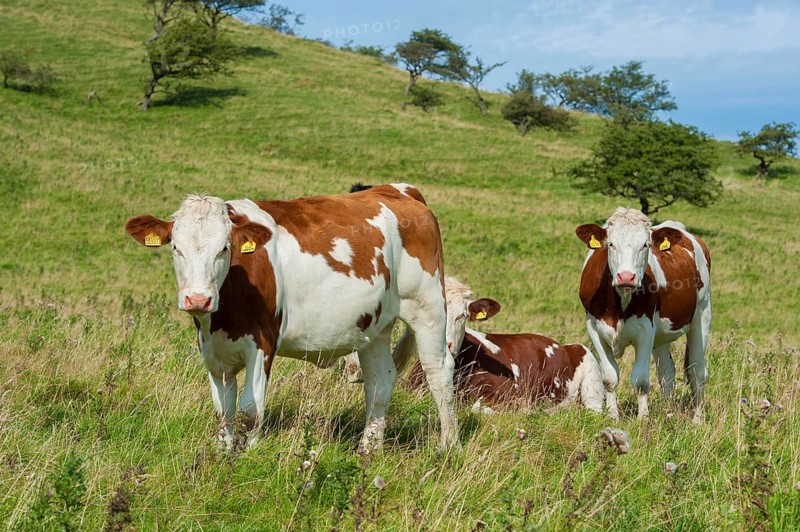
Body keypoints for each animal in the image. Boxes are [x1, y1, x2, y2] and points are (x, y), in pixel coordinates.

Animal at [124, 185, 458, 453]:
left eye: (224, 248)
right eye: (176, 247)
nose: (197, 299)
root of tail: (396, 189)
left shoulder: (263, 342)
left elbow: (250, 409)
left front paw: (247, 457)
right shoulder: (212, 350)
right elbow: (224, 411)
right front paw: (222, 453)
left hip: (427, 308)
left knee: (439, 374)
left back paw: (448, 446)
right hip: (373, 326)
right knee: (380, 381)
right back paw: (369, 449)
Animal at [575, 208, 711, 423]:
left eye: (645, 245)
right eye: (611, 244)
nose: (626, 277)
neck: (619, 304)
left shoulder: (646, 330)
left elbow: (640, 380)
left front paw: (643, 419)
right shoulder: (594, 327)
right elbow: (609, 377)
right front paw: (613, 416)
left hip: (702, 315)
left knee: (697, 371)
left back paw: (697, 420)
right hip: (662, 336)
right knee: (666, 372)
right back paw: (667, 411)